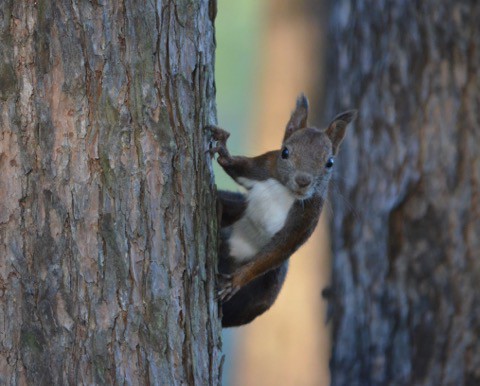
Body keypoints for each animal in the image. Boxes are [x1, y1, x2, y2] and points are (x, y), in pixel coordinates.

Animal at [206, 95, 356, 328]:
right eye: (284, 152)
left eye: (330, 162)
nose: (303, 181)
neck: (285, 192)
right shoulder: (264, 165)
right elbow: (236, 168)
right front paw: (222, 148)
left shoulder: (305, 220)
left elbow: (279, 250)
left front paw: (236, 280)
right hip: (236, 213)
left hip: (267, 291)